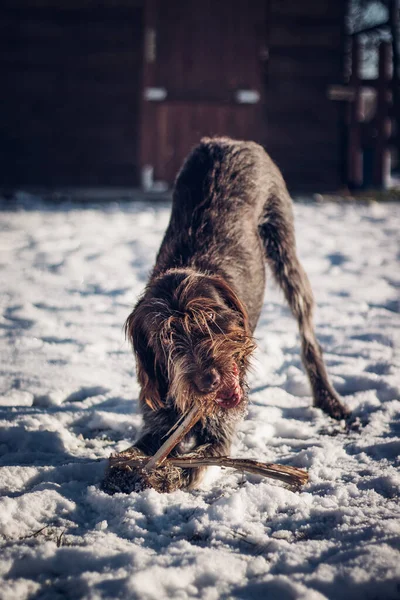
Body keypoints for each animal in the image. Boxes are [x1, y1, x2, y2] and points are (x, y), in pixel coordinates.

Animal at [126, 138, 350, 490]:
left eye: (210, 319)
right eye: (167, 338)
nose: (210, 381)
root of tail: (226, 141)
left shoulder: (218, 435)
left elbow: (187, 465)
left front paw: (159, 476)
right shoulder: (159, 423)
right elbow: (136, 452)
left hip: (284, 249)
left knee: (308, 334)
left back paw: (328, 398)